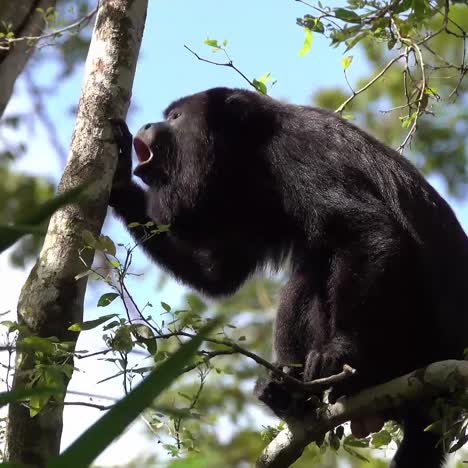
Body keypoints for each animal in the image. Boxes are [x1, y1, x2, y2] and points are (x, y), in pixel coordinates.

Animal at [109, 86, 468, 466]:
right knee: (306, 278)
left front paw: (338, 352)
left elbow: (369, 231)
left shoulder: (301, 152)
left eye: (176, 117)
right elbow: (218, 274)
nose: (148, 124)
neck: (253, 154)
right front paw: (118, 180)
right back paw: (286, 393)